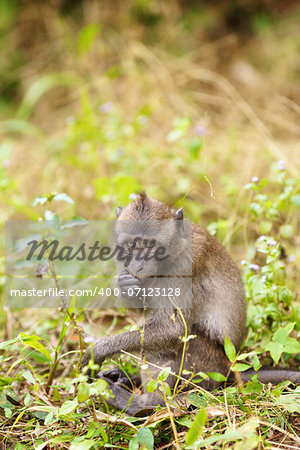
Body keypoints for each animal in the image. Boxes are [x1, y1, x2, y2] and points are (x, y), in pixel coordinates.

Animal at [81, 192, 298, 414]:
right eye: (131, 245)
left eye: (150, 245)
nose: (139, 264)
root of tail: (228, 367)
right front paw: (125, 286)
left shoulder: (185, 264)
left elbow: (173, 330)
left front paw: (97, 351)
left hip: (205, 366)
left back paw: (143, 404)